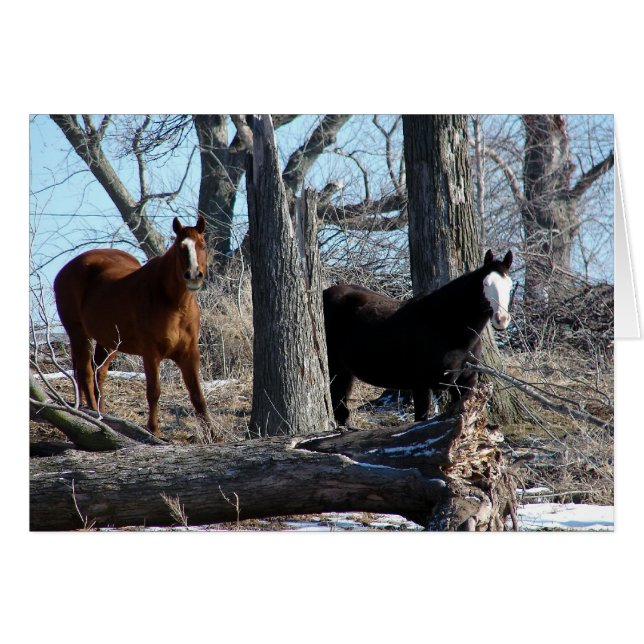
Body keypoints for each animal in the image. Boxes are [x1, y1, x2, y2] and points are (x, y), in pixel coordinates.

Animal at [54, 216, 212, 437]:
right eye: (180, 248)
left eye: (203, 245)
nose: (194, 275)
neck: (174, 303)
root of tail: (66, 269)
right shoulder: (151, 353)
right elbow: (154, 391)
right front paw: (154, 431)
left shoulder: (189, 353)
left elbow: (197, 394)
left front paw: (213, 435)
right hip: (78, 333)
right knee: (86, 374)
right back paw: (94, 417)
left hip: (109, 342)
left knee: (98, 373)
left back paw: (105, 417)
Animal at [323, 249, 513, 426]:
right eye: (486, 283)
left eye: (509, 285)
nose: (501, 319)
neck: (447, 325)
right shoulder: (421, 385)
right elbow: (421, 420)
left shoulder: (465, 381)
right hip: (335, 368)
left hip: (345, 371)